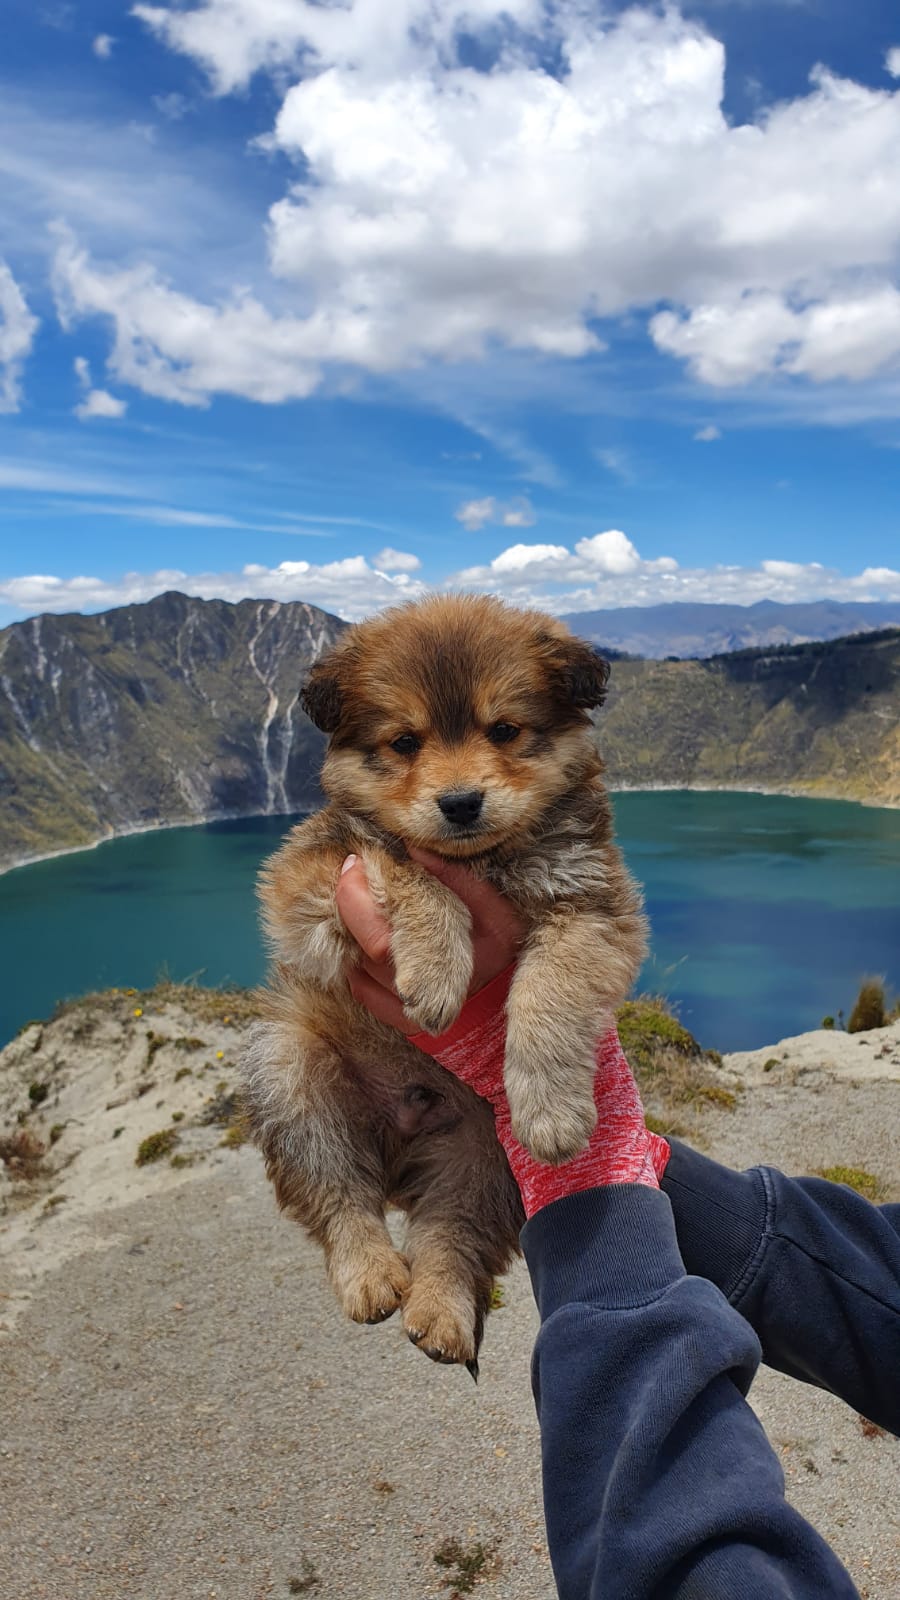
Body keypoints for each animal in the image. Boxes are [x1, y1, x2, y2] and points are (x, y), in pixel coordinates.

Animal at [241, 595, 640, 1369]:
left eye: (504, 729)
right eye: (405, 742)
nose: (459, 803)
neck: (484, 862)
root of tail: (400, 1141)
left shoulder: (592, 907)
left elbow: (547, 992)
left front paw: (550, 1110)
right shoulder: (304, 881)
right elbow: (400, 860)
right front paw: (433, 966)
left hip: (481, 1156)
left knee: (450, 1231)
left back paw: (440, 1312)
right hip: (291, 1076)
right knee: (340, 1197)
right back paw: (371, 1274)